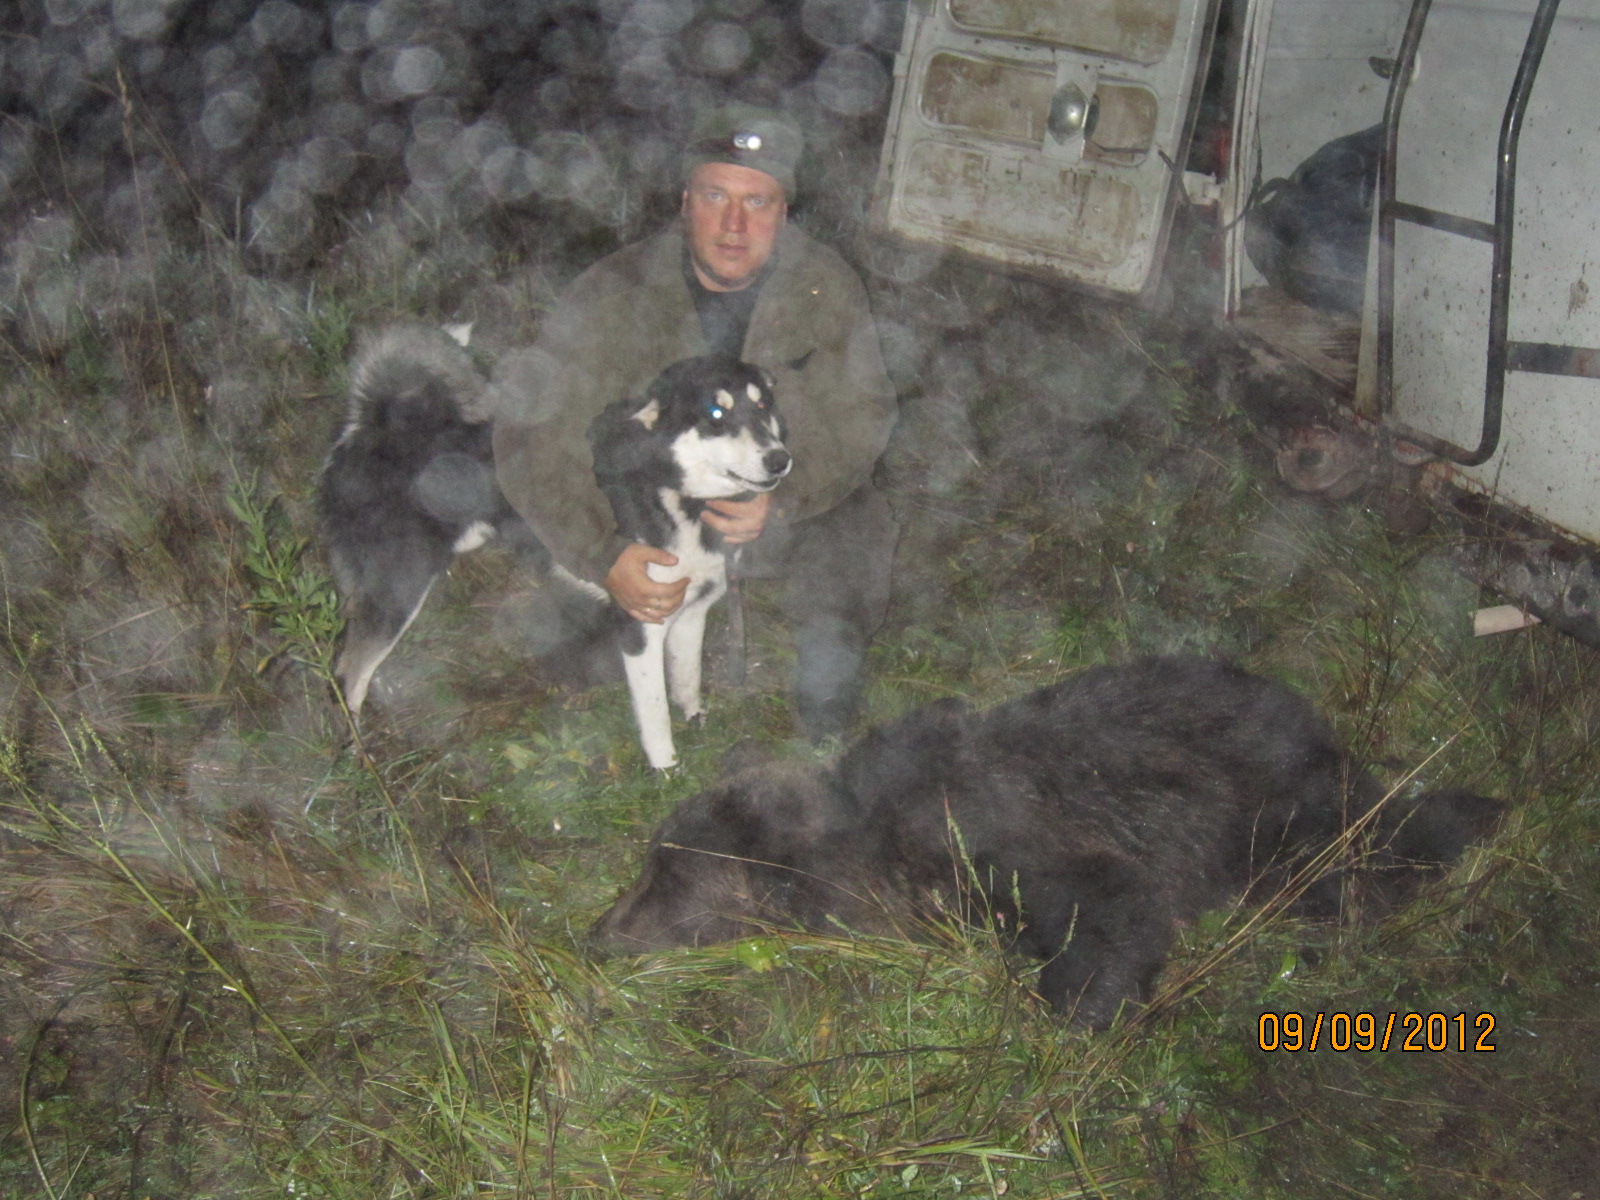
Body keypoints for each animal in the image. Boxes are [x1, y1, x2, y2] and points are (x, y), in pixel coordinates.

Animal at [317, 330, 790, 768]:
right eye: (715, 414)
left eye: (762, 406)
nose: (779, 459)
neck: (671, 490)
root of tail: (368, 426)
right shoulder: (640, 623)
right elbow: (655, 716)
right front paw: (666, 772)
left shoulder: (691, 612)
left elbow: (687, 677)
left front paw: (694, 721)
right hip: (399, 588)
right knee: (347, 672)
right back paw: (358, 758)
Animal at [589, 656, 1501, 1028]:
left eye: (666, 876)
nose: (597, 932)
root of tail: (1330, 741)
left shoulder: (997, 836)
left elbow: (1112, 903)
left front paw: (1082, 1008)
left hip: (1285, 815)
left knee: (1359, 861)